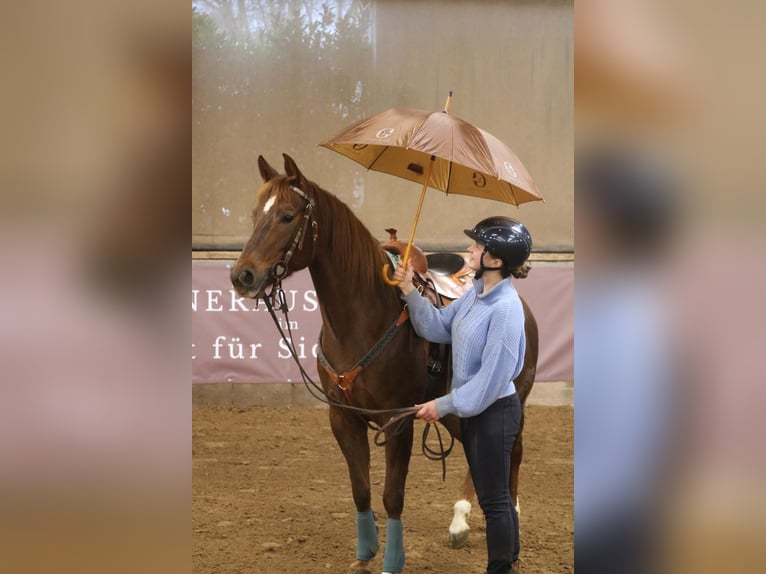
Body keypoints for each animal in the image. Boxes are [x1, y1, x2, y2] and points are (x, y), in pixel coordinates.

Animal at [230, 154, 538, 573]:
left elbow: (392, 494)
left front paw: (392, 559)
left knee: (511, 454)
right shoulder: (343, 418)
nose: (242, 275)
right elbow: (361, 490)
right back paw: (459, 522)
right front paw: (364, 553)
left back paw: (511, 520)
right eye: (255, 213)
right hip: (456, 410)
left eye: (288, 216)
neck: (361, 319)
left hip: (508, 400)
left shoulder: (398, 420)